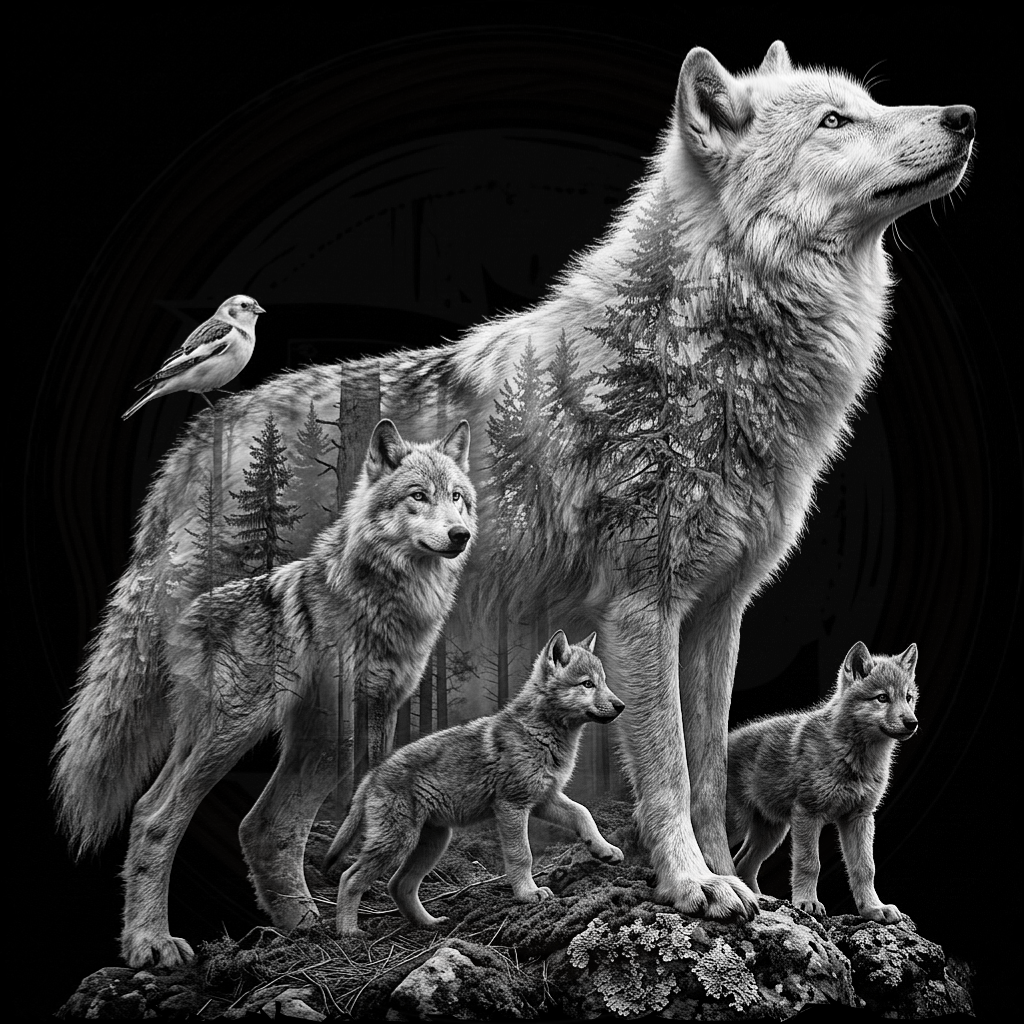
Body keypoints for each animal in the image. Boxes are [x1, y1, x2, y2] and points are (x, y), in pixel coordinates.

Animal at [53, 418, 475, 967]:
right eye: (418, 495)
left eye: (457, 497)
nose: (460, 534)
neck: (390, 599)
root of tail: (184, 614)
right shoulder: (350, 716)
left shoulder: (383, 708)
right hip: (245, 733)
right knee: (157, 819)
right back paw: (151, 942)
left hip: (285, 737)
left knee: (248, 822)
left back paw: (300, 923)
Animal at [324, 630, 625, 934]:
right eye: (587, 684)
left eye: (603, 682)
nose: (621, 705)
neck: (541, 734)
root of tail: (371, 775)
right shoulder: (512, 806)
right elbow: (522, 855)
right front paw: (528, 894)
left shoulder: (544, 800)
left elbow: (583, 814)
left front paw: (604, 849)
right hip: (398, 843)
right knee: (350, 877)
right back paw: (349, 932)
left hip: (433, 843)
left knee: (398, 885)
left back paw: (429, 923)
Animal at [726, 642, 919, 923]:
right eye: (882, 698)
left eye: (908, 698)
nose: (912, 723)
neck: (854, 757)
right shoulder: (808, 813)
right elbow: (809, 863)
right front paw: (807, 902)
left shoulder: (859, 817)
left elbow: (865, 868)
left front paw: (874, 909)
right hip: (739, 825)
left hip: (772, 833)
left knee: (743, 863)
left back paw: (759, 899)